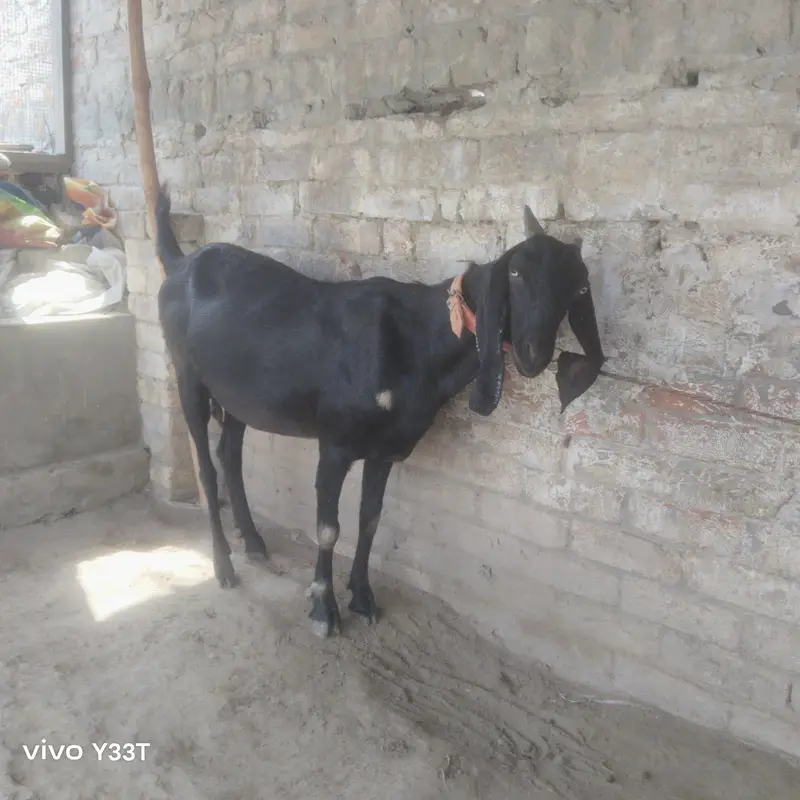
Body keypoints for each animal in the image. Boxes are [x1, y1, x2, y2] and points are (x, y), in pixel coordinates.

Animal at [155, 186, 605, 639]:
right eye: (516, 273)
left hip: (237, 396)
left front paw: (363, 597)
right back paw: (224, 566)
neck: (417, 339)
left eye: (577, 288)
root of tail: (179, 264)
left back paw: (253, 543)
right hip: (186, 374)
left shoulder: (387, 449)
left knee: (229, 454)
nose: (534, 353)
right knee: (206, 468)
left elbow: (370, 519)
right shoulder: (334, 443)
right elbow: (328, 528)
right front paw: (324, 609)